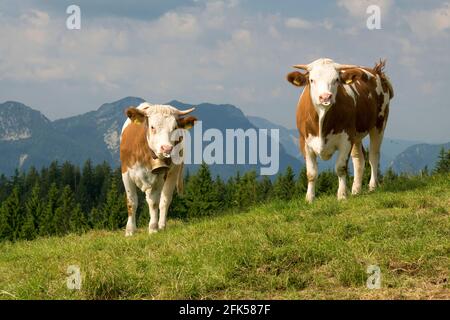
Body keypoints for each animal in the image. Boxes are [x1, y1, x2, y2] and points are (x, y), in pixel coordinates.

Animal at [119, 102, 197, 235]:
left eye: (174, 128)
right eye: (152, 127)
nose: (167, 148)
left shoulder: (160, 174)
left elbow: (154, 202)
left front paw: (153, 228)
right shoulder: (126, 172)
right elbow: (132, 202)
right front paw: (130, 231)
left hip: (173, 173)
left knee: (164, 200)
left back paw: (161, 225)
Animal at [288, 57, 394, 202]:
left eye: (336, 79)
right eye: (311, 80)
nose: (325, 97)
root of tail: (376, 71)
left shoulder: (346, 139)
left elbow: (340, 168)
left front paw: (342, 195)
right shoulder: (304, 141)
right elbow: (311, 173)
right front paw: (309, 198)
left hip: (379, 123)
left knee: (373, 156)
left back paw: (372, 186)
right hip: (356, 135)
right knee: (359, 158)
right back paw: (356, 190)